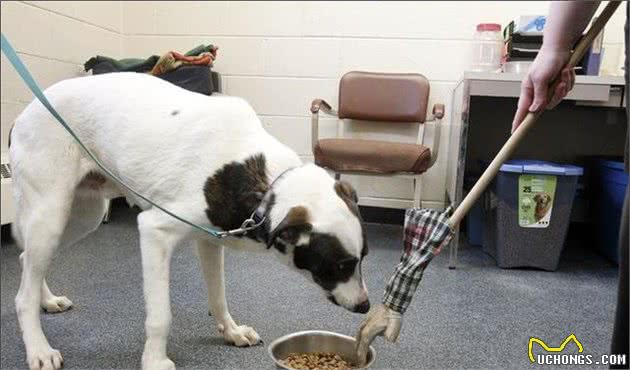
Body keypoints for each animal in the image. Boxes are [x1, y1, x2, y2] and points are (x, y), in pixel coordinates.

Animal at [8, 72, 370, 370]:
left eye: (363, 258)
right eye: (340, 265)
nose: (366, 306)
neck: (261, 183)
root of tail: (24, 113)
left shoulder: (211, 239)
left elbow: (219, 296)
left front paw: (232, 332)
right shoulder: (154, 232)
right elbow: (160, 316)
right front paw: (155, 360)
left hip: (84, 215)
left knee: (27, 260)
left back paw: (47, 300)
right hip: (51, 212)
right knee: (22, 294)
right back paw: (39, 349)